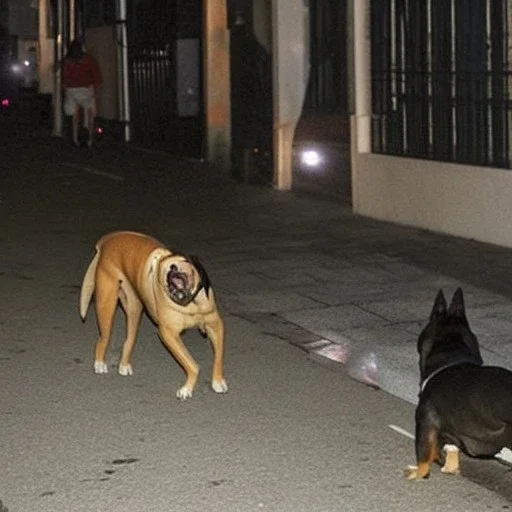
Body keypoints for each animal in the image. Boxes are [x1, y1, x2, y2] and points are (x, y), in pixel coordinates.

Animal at [79, 231, 228, 400]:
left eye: (185, 261)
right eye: (163, 274)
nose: (172, 268)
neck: (192, 304)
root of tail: (107, 240)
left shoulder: (216, 326)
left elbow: (218, 356)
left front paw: (218, 381)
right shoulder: (168, 334)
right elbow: (192, 364)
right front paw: (187, 389)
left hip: (134, 309)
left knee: (129, 340)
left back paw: (123, 365)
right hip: (106, 307)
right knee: (102, 339)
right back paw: (99, 363)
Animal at [408, 288, 512, 480]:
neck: (453, 356)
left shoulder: (426, 423)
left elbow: (424, 458)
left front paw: (417, 473)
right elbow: (451, 450)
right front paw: (450, 467)